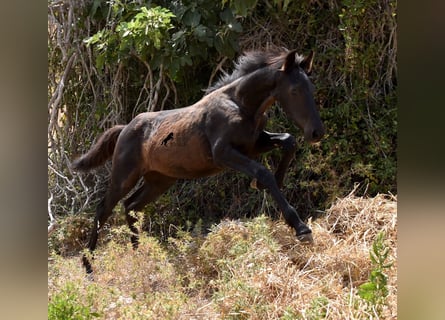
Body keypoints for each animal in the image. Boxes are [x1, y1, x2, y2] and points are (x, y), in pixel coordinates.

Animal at [72, 48, 322, 272]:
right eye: (295, 90)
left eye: (311, 88)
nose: (316, 132)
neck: (241, 104)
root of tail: (124, 128)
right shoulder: (224, 153)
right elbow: (263, 172)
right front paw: (301, 228)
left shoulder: (253, 145)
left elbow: (289, 141)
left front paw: (269, 183)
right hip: (124, 175)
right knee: (104, 209)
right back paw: (88, 266)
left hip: (160, 180)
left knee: (131, 206)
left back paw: (138, 254)